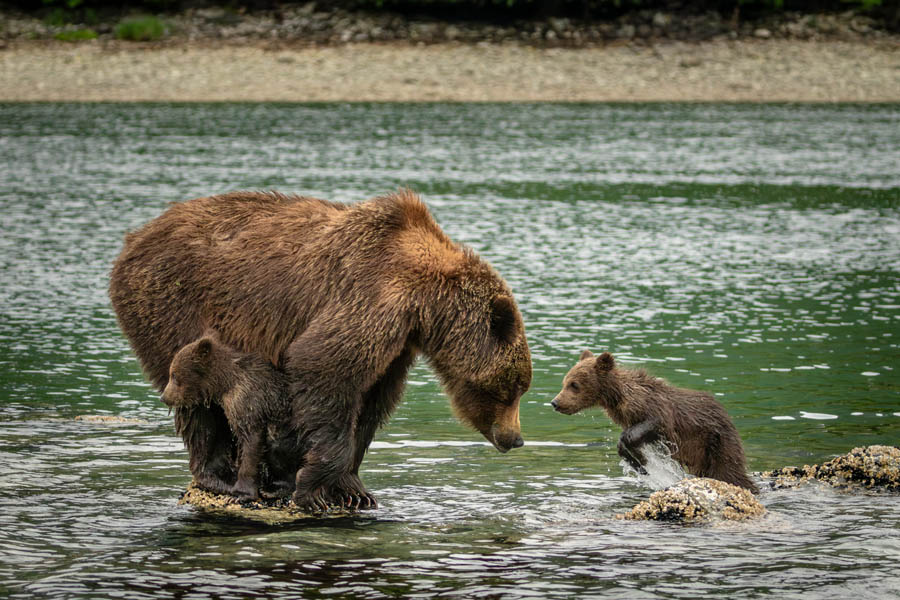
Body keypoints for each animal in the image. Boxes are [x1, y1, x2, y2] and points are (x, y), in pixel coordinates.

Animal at [161, 332, 300, 501]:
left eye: (174, 375)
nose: (164, 397)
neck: (224, 384)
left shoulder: (246, 400)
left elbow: (251, 441)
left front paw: (240, 494)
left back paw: (274, 489)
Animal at [551, 350, 758, 493]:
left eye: (574, 384)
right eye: (564, 382)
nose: (555, 402)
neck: (618, 398)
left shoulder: (655, 410)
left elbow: (646, 427)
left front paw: (639, 460)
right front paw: (639, 462)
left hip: (717, 443)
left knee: (728, 471)